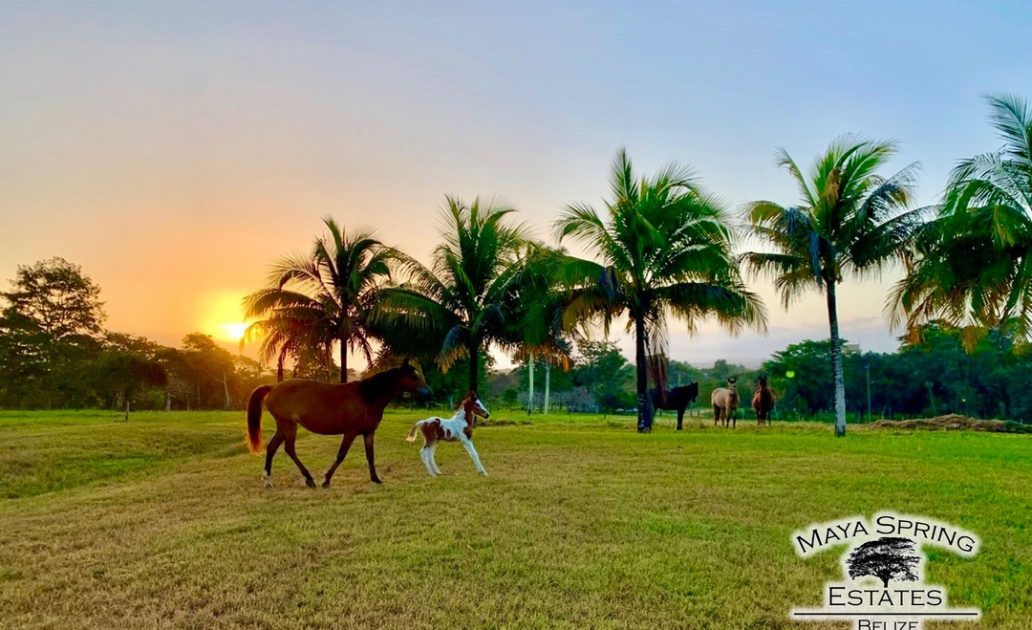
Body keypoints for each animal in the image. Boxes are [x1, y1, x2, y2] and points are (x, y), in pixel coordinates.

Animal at [247, 357, 429, 485]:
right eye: (412, 376)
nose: (428, 392)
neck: (367, 396)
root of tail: (273, 387)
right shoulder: (350, 433)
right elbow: (341, 455)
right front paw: (326, 480)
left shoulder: (368, 433)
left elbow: (370, 456)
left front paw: (376, 479)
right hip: (289, 426)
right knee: (289, 449)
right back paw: (309, 478)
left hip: (283, 426)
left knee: (272, 448)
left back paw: (268, 479)